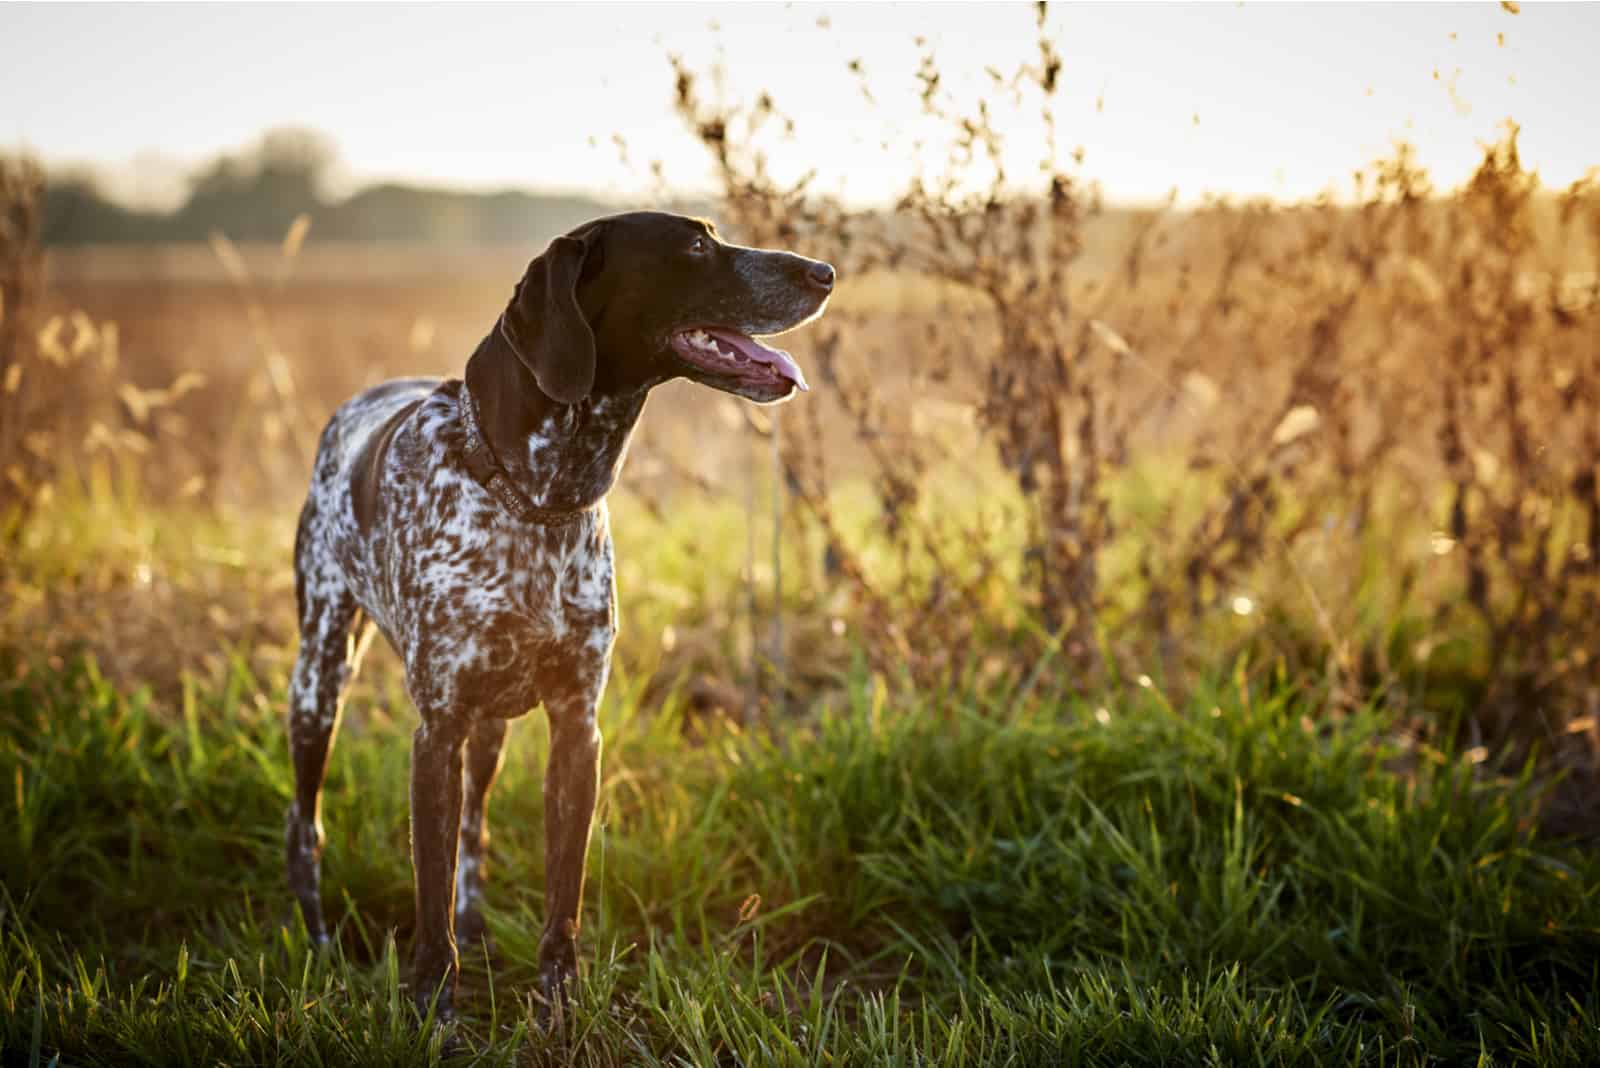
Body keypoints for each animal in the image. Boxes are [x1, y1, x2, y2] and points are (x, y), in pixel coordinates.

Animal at [286, 207, 832, 1016]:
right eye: (696, 244)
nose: (824, 272)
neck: (537, 497)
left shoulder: (577, 727)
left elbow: (560, 901)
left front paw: (560, 1009)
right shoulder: (436, 733)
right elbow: (427, 906)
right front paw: (434, 1010)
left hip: (488, 731)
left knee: (474, 837)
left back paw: (475, 931)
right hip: (319, 681)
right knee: (306, 824)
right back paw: (315, 937)